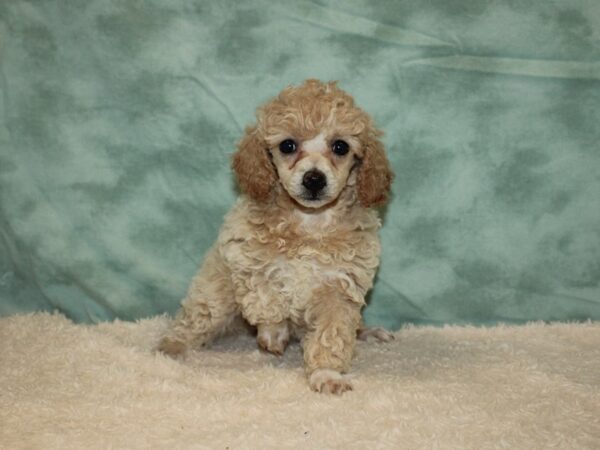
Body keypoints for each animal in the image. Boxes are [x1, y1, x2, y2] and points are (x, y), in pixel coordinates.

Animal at [159, 78, 394, 394]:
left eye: (340, 146)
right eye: (288, 145)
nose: (314, 179)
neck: (309, 222)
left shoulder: (340, 286)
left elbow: (332, 334)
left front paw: (327, 374)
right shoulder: (244, 254)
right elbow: (266, 290)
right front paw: (274, 332)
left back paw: (369, 333)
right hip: (216, 296)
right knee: (195, 320)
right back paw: (169, 348)